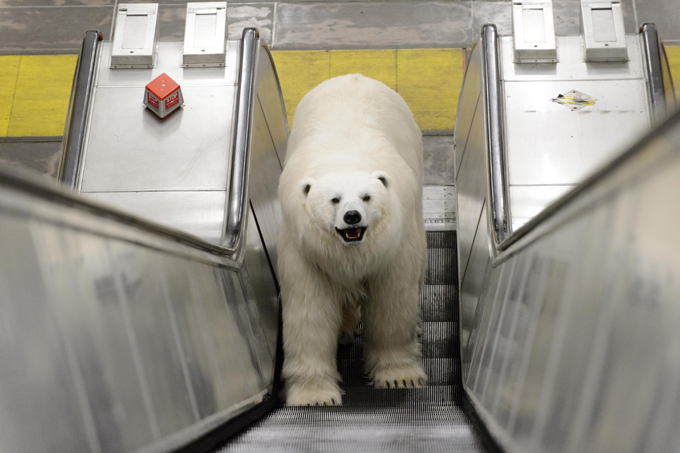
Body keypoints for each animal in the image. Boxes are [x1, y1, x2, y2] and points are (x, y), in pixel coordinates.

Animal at [277, 74, 427, 406]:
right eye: (334, 199)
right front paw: (315, 395)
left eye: (367, 196)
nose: (352, 217)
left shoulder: (394, 247)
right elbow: (310, 311)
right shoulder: (306, 251)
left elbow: (392, 302)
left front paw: (399, 377)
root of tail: (354, 75)